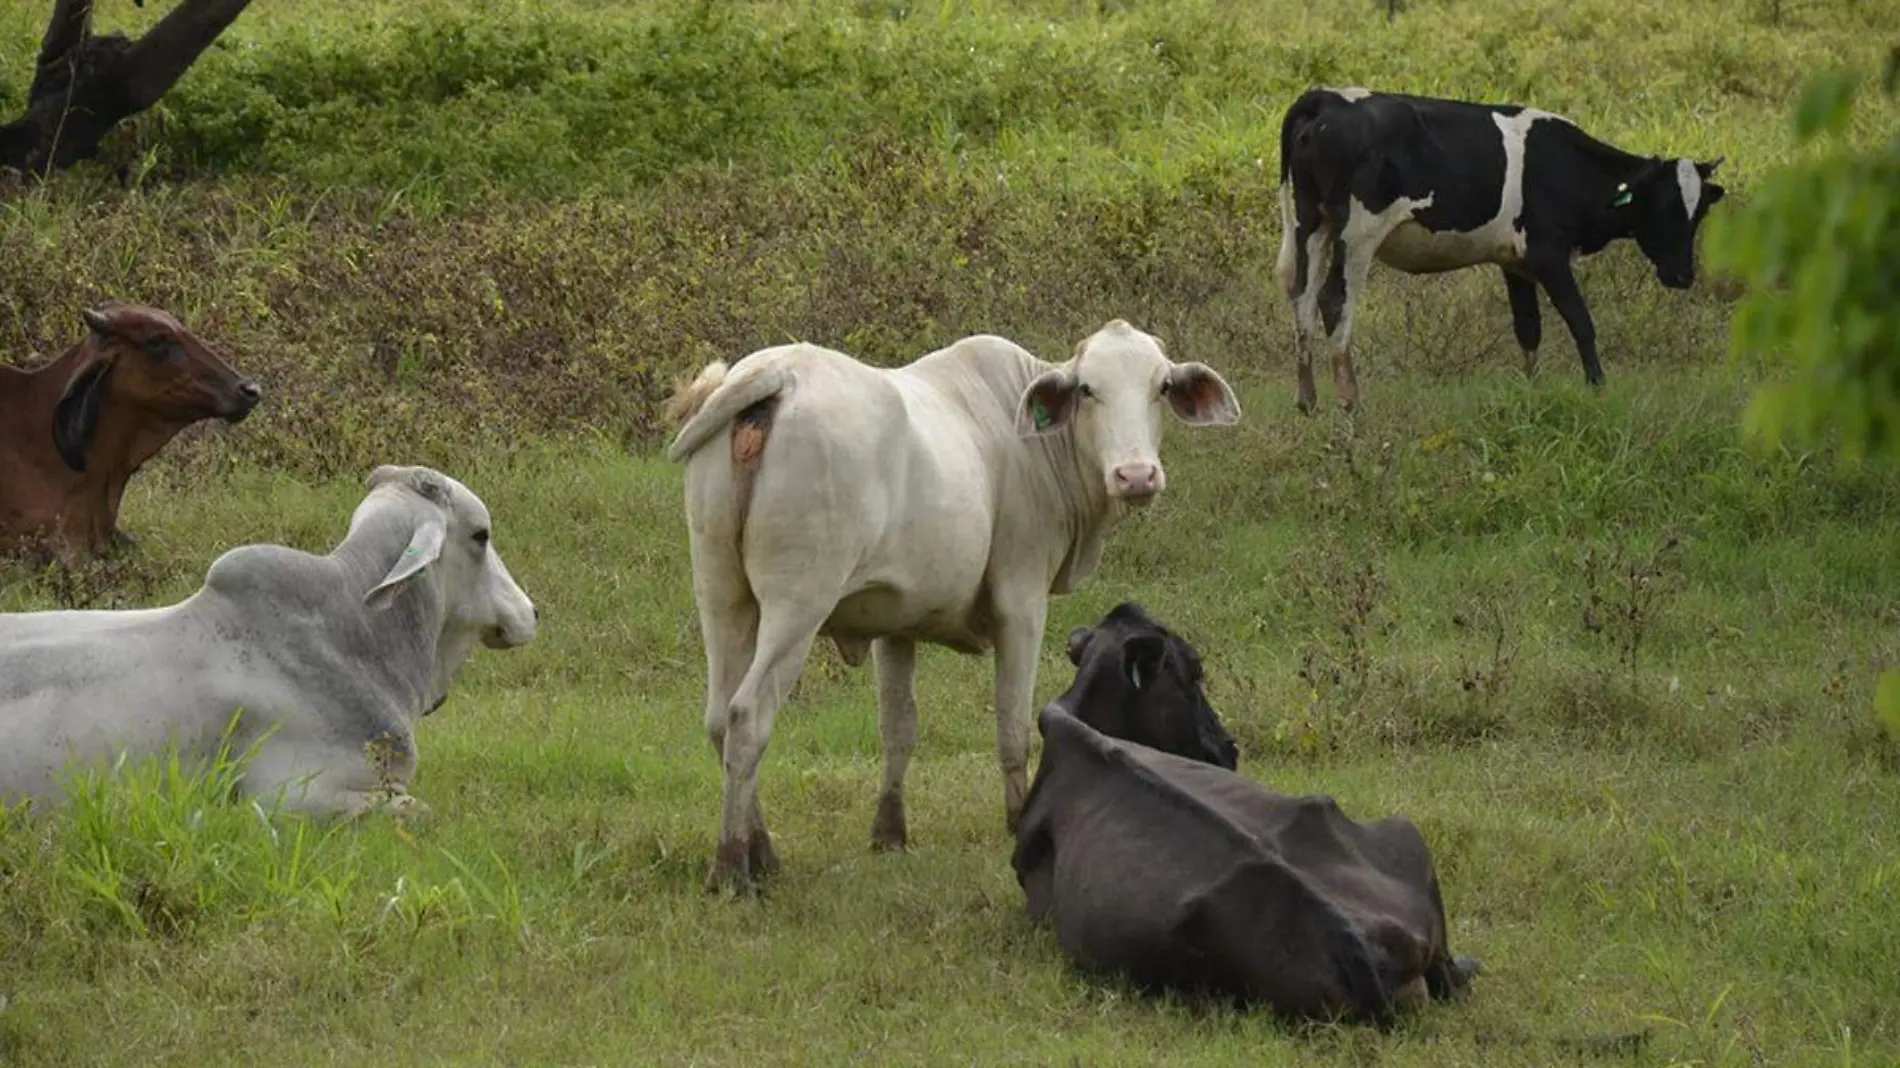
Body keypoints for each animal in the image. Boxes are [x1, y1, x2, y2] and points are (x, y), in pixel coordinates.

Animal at [668, 319, 1246, 885]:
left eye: (1162, 386)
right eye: (1087, 389)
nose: (1136, 475)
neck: (1034, 446)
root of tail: (779, 373)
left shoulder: (894, 623)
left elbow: (898, 730)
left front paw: (890, 834)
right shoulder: (1022, 603)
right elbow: (1013, 728)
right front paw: (1017, 824)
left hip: (720, 593)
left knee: (719, 718)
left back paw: (762, 851)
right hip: (798, 602)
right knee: (748, 716)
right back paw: (733, 866)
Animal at [1276, 87, 1725, 414]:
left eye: (1700, 210)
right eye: (1663, 206)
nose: (1682, 275)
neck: (1567, 167)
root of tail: (1327, 97)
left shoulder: (1515, 262)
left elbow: (1528, 328)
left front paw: (1532, 390)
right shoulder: (1549, 255)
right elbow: (1581, 321)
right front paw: (1598, 388)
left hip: (1310, 224)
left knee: (1303, 299)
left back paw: (1308, 401)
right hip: (1358, 234)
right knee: (1334, 300)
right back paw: (1350, 401)